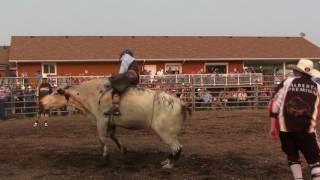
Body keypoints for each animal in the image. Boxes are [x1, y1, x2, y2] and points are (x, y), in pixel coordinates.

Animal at [39, 79, 190, 169]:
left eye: (56, 92)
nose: (41, 102)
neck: (92, 94)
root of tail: (180, 103)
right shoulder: (111, 122)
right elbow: (112, 136)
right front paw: (123, 150)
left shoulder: (101, 120)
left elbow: (102, 138)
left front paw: (105, 158)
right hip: (168, 133)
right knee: (174, 148)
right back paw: (166, 161)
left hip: (166, 132)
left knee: (177, 147)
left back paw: (169, 165)